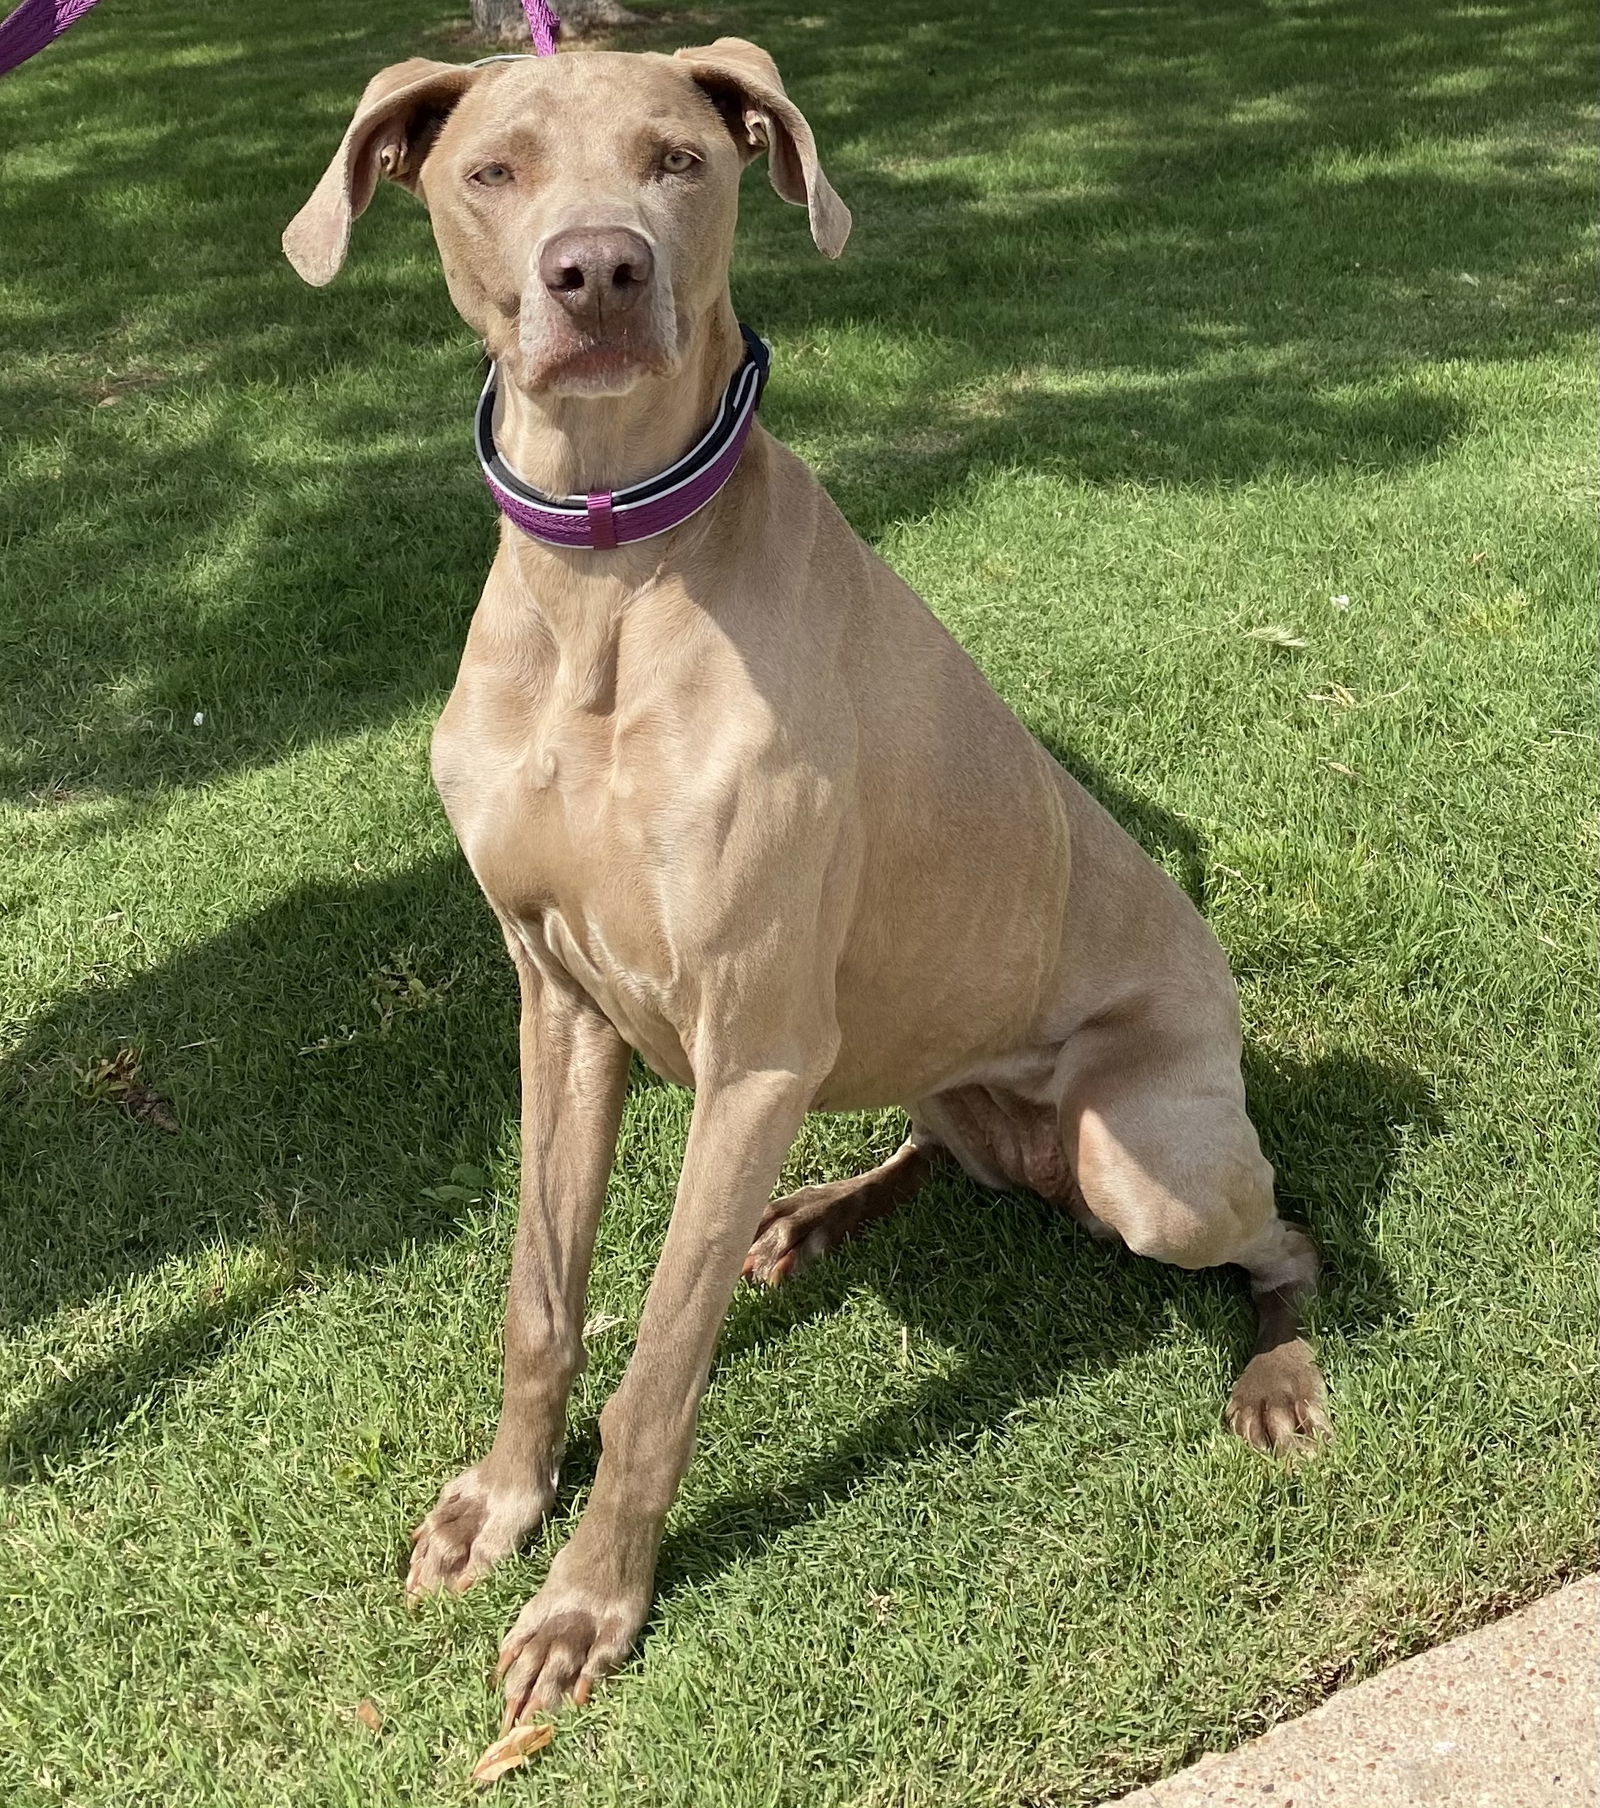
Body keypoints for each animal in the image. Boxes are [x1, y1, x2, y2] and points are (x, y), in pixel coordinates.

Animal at [283, 42, 1323, 1728]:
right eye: (494, 170)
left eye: (680, 159)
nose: (599, 273)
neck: (606, 585)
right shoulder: (557, 999)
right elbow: (542, 1303)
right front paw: (502, 1507)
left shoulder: (756, 1045)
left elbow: (656, 1366)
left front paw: (588, 1608)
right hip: (930, 1069)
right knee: (947, 1142)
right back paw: (822, 1214)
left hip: (1148, 1159)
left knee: (1279, 1236)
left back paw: (1280, 1374)